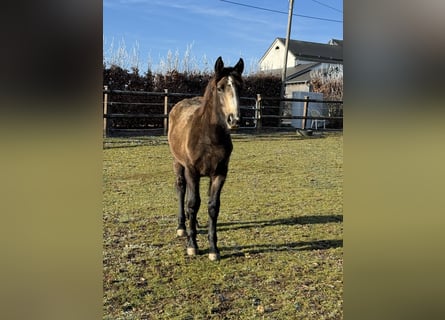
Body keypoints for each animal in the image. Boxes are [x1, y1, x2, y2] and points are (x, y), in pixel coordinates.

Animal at [167, 56, 245, 262]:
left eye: (240, 87)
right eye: (220, 88)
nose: (234, 120)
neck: (209, 137)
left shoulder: (219, 174)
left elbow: (213, 207)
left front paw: (213, 249)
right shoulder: (192, 171)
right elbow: (193, 203)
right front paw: (192, 246)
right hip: (179, 164)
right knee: (181, 190)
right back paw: (182, 227)